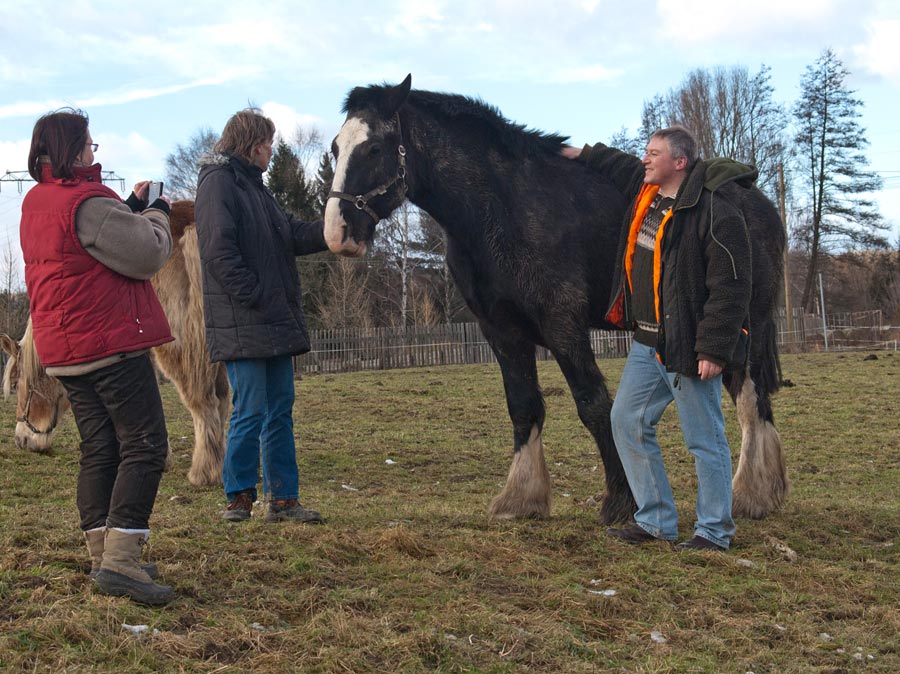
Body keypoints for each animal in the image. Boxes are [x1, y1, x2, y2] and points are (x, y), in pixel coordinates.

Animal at [1, 200, 230, 487]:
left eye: (18, 384)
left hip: (185, 350)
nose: (21, 440)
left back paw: (204, 472)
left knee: (204, 402)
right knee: (223, 399)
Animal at [324, 75, 788, 522]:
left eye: (374, 148)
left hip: (736, 330)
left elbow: (594, 405)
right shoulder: (502, 331)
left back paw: (748, 495)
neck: (501, 208)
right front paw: (521, 497)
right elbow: (523, 407)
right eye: (335, 148)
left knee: (749, 402)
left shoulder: (562, 323)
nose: (337, 232)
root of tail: (762, 209)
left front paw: (621, 500)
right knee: (758, 404)